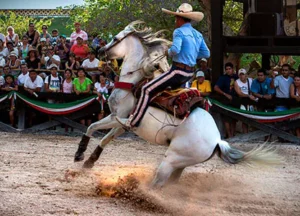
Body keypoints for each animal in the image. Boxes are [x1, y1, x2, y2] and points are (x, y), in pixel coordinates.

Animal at [74, 21, 282, 188]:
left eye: (115, 38)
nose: (100, 51)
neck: (132, 82)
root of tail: (217, 141)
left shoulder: (117, 117)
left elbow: (92, 127)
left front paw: (80, 153)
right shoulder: (122, 125)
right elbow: (104, 139)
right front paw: (89, 161)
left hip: (171, 159)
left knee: (157, 184)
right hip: (181, 164)